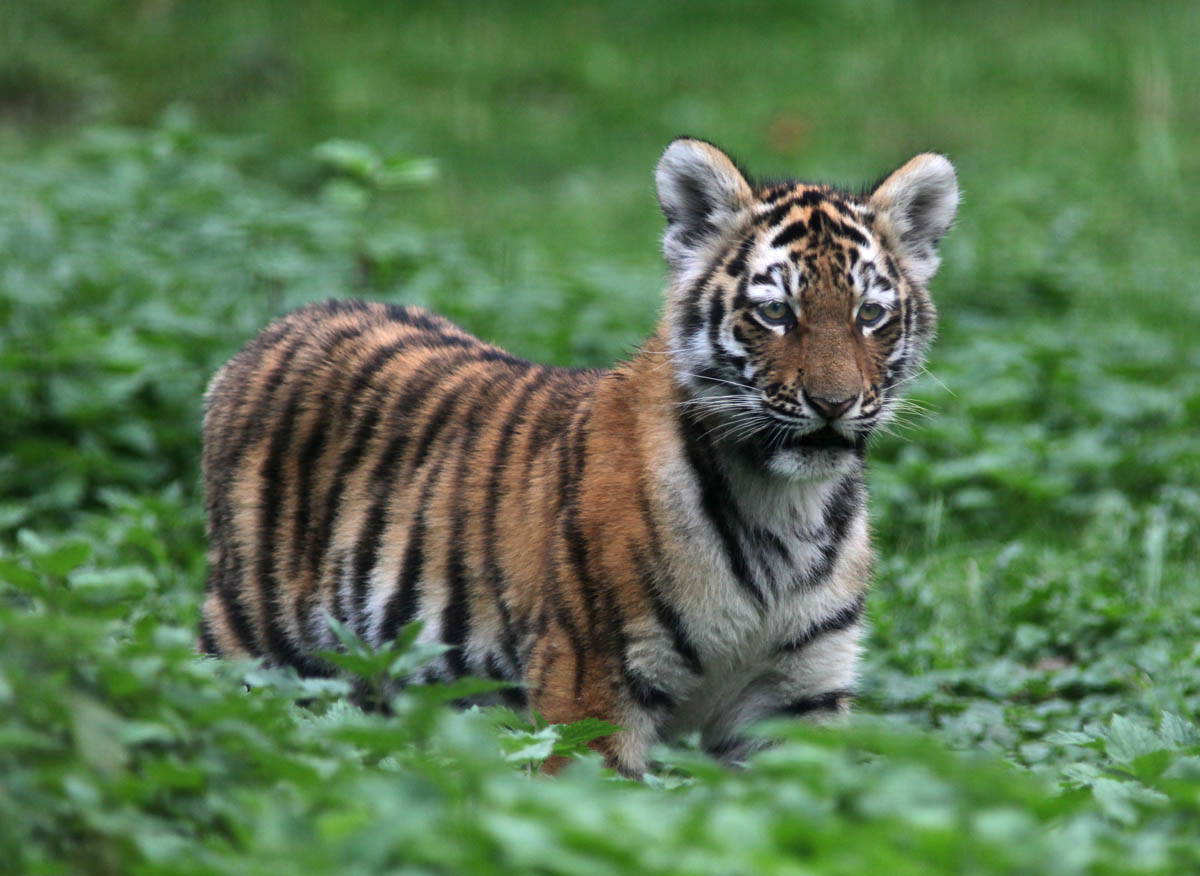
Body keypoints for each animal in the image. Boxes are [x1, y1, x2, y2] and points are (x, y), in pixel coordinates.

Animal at [200, 137, 958, 777]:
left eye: (869, 315)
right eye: (775, 314)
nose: (834, 402)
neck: (786, 506)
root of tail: (277, 328)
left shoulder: (800, 699)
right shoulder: (592, 687)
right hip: (255, 647)